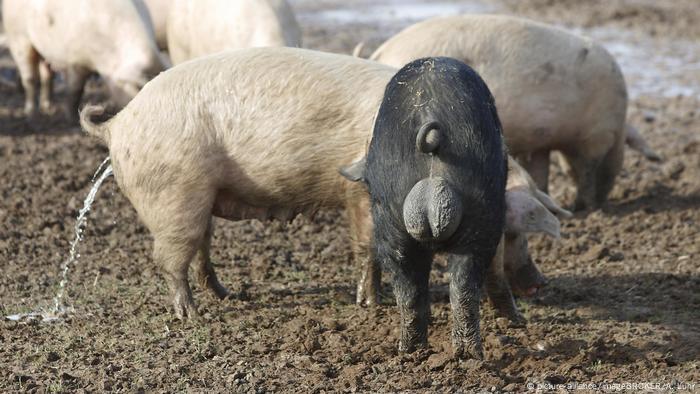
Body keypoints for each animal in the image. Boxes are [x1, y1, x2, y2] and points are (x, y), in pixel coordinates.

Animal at [2, 0, 167, 121]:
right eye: (139, 88)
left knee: (47, 75)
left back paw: (48, 107)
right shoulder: (77, 61)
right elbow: (76, 89)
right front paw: (71, 118)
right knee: (30, 78)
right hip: (18, 37)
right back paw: (31, 115)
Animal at [366, 14, 660, 212]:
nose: (603, 202)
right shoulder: (596, 136)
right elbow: (588, 171)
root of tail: (381, 51)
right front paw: (584, 208)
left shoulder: (542, 141)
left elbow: (541, 171)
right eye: (623, 158)